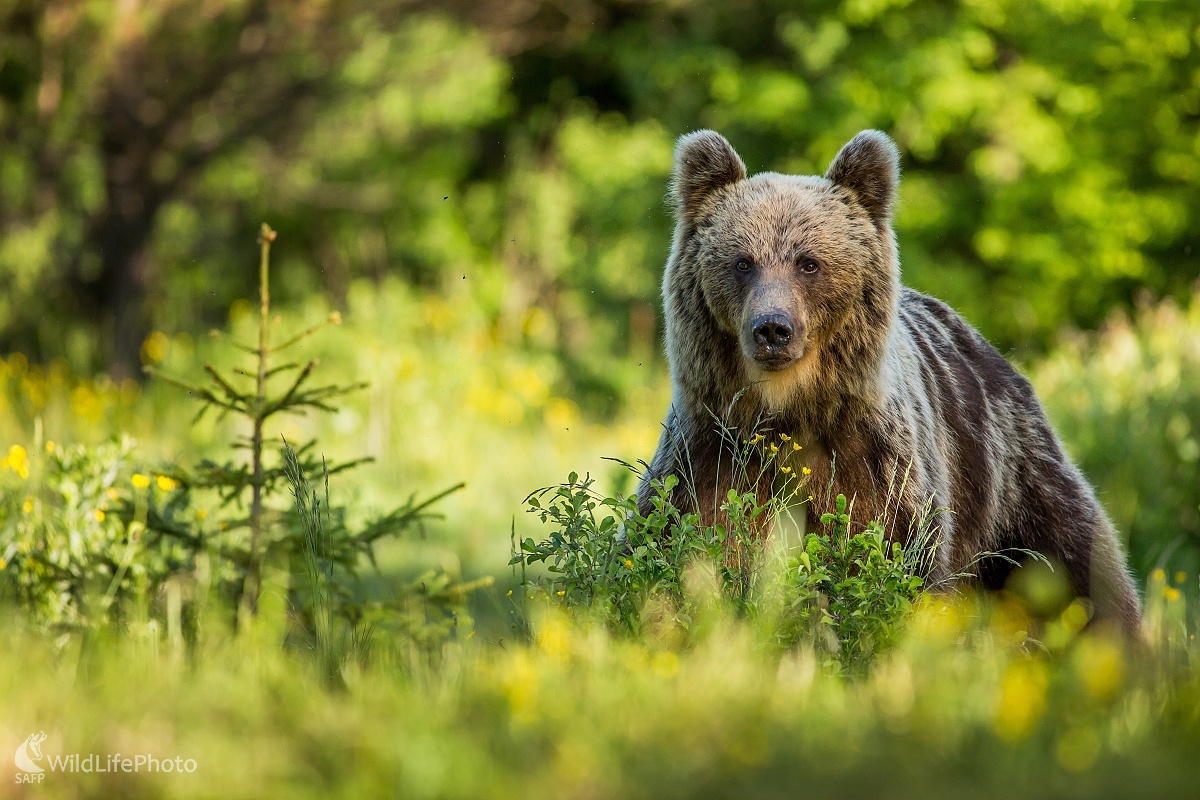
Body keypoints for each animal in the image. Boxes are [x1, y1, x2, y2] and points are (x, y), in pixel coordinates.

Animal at [633, 128, 1137, 633]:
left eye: (808, 263)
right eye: (743, 262)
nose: (772, 328)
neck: (788, 413)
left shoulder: (875, 463)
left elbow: (894, 558)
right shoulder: (711, 453)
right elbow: (691, 540)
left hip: (1011, 473)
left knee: (1074, 560)